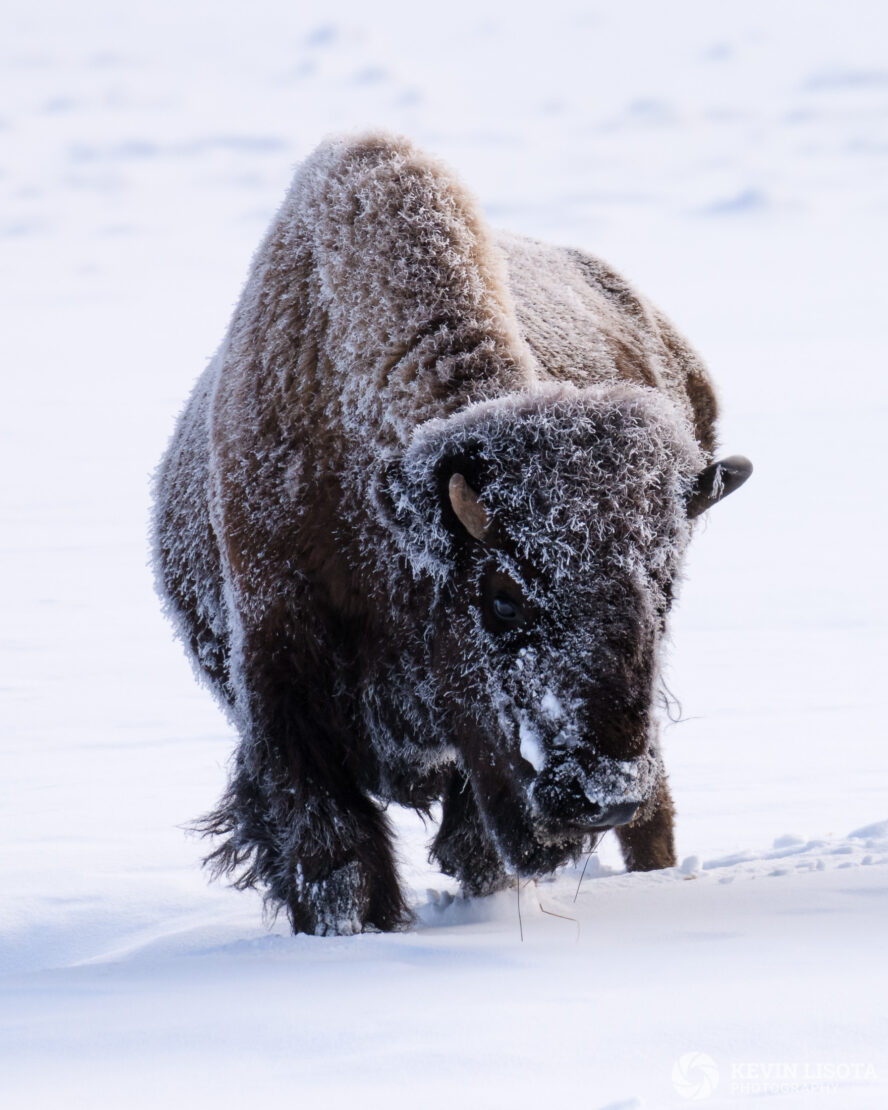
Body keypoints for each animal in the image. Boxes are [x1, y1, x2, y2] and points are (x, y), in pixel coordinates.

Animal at [153, 132, 750, 936]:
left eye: (664, 586)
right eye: (502, 596)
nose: (605, 794)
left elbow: (472, 843)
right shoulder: (287, 699)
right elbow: (335, 856)